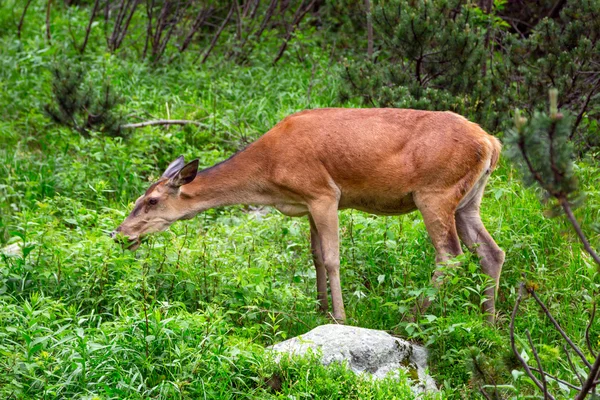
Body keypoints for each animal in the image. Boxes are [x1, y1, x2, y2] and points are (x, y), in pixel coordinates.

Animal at [110, 108, 504, 324]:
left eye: (152, 201)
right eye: (138, 198)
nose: (119, 234)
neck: (269, 175)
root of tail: (491, 143)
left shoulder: (324, 193)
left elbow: (331, 257)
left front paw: (341, 317)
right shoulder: (308, 204)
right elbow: (314, 256)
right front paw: (319, 309)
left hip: (435, 193)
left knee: (450, 255)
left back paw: (410, 317)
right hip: (469, 199)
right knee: (491, 251)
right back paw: (489, 322)